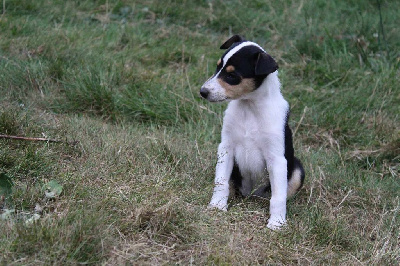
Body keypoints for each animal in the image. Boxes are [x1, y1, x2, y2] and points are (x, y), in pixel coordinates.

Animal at [200, 34, 306, 231]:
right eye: (218, 67)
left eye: (232, 75)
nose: (203, 92)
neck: (249, 107)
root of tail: (251, 195)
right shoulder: (226, 148)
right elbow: (221, 181)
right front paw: (217, 205)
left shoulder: (276, 158)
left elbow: (278, 197)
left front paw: (276, 222)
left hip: (296, 169)